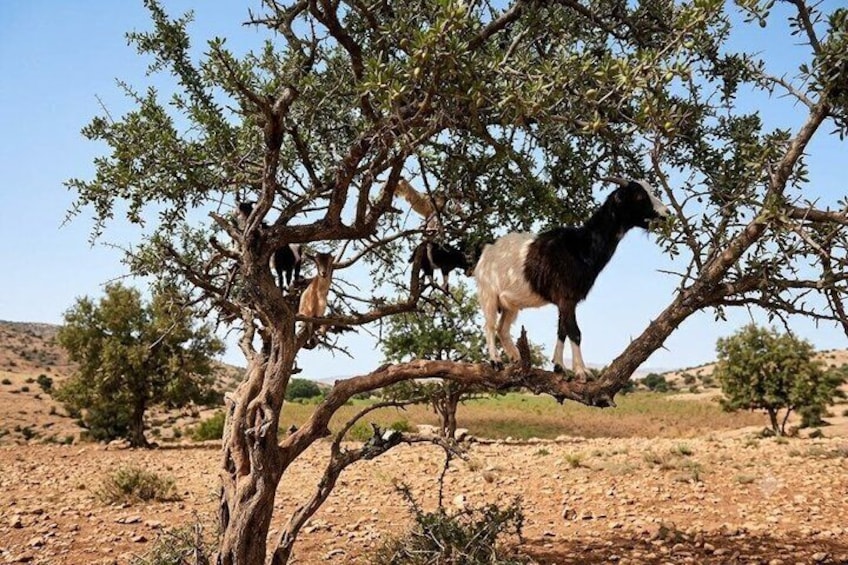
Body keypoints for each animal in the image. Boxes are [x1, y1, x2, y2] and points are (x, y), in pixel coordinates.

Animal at [474, 178, 670, 377]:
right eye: (639, 196)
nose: (666, 214)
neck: (580, 246)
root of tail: (487, 252)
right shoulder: (566, 297)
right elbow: (575, 332)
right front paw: (582, 371)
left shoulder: (567, 300)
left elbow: (562, 331)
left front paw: (560, 366)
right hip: (488, 293)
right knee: (489, 326)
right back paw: (496, 361)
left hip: (510, 304)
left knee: (502, 328)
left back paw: (516, 358)